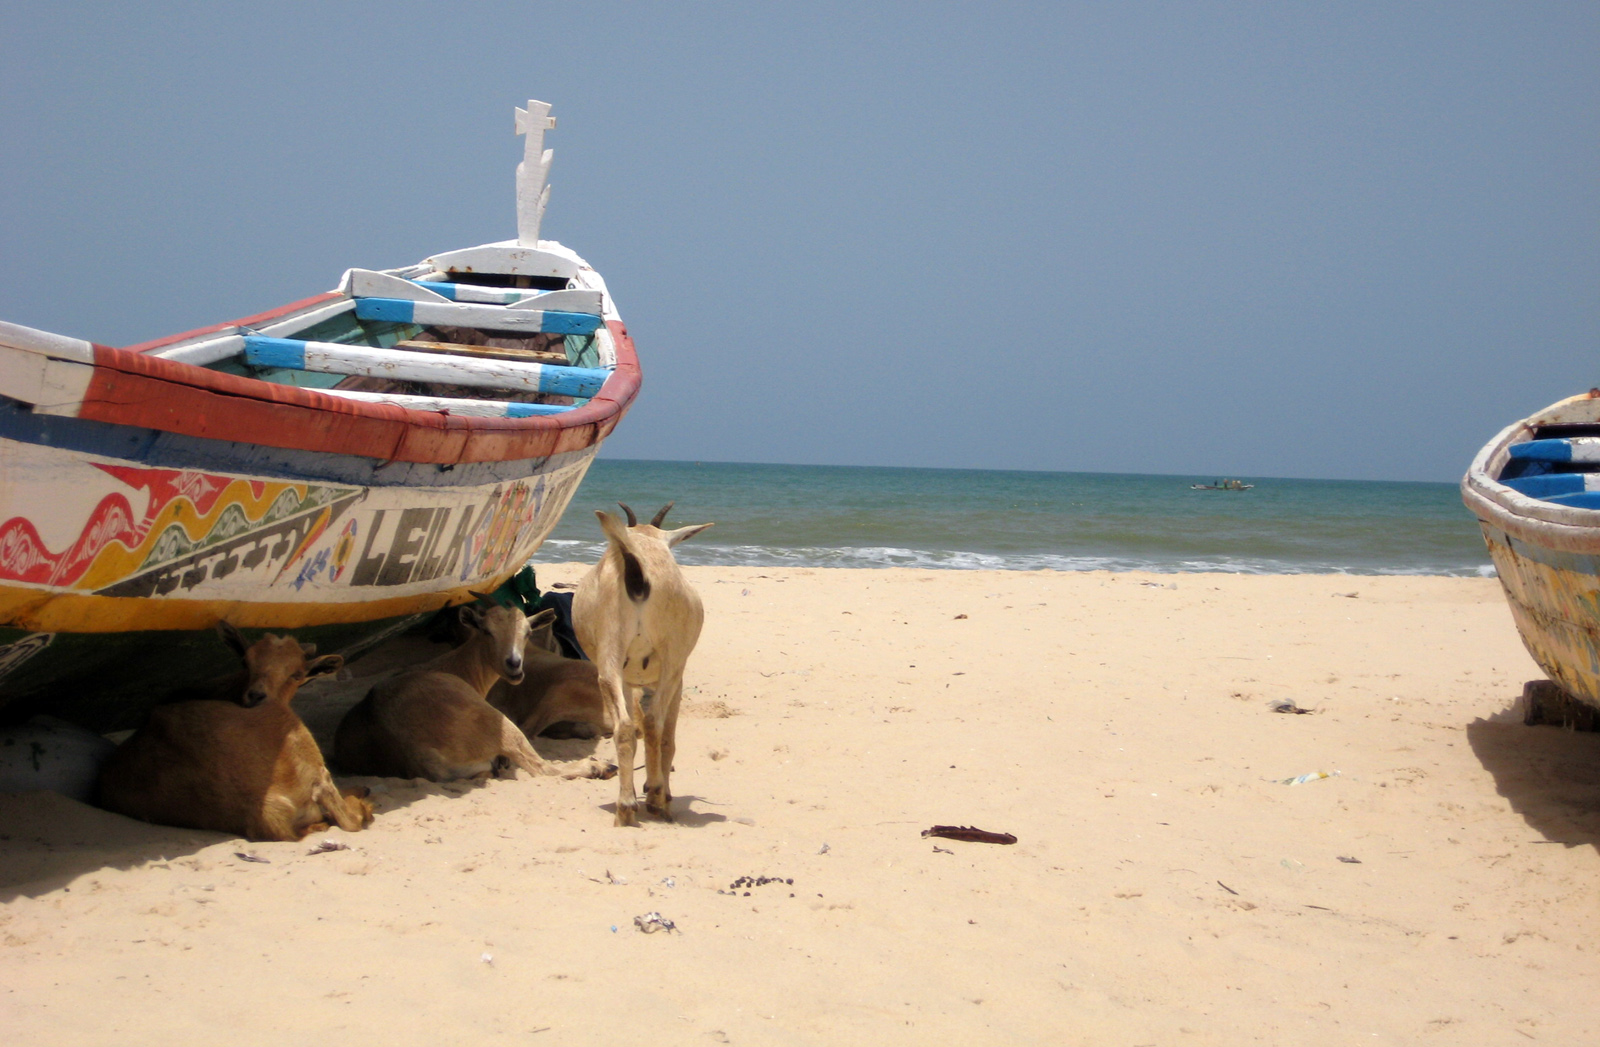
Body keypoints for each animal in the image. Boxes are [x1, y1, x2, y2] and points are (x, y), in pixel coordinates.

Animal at [334, 601, 614, 784]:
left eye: (527, 633)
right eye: (486, 631)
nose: (514, 664)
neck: (460, 668)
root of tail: (423, 756)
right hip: (498, 722)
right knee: (542, 766)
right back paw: (599, 766)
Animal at [569, 502, 707, 826]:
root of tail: (635, 566)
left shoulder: (629, 680)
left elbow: (634, 725)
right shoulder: (677, 675)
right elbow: (667, 737)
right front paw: (661, 793)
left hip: (608, 661)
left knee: (625, 726)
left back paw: (626, 806)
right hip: (670, 664)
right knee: (655, 724)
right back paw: (656, 798)